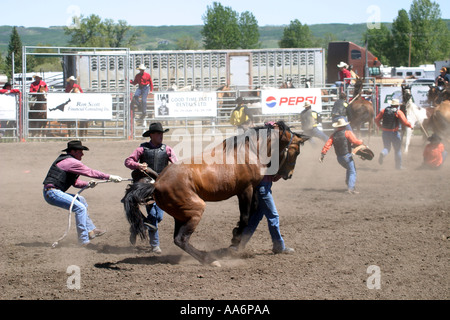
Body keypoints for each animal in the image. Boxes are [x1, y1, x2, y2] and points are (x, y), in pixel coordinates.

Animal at [121, 121, 310, 266]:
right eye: (297, 151)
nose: (288, 175)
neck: (249, 151)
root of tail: (157, 183)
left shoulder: (253, 189)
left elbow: (254, 211)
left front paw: (237, 236)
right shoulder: (245, 190)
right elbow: (246, 217)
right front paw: (235, 237)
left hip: (181, 214)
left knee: (178, 238)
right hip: (196, 209)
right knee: (181, 239)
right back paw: (209, 260)